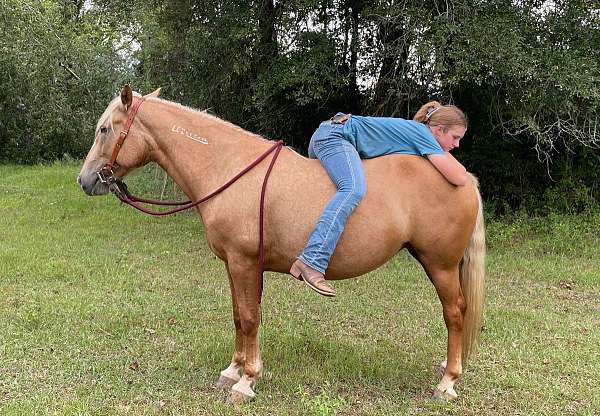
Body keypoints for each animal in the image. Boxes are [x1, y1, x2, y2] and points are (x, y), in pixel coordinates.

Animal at [77, 87, 486, 404]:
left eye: (104, 129)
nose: (85, 180)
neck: (230, 168)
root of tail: (462, 176)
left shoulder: (244, 262)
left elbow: (249, 318)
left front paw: (246, 381)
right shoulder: (234, 264)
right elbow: (238, 315)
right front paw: (233, 370)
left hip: (440, 265)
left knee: (454, 314)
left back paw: (447, 383)